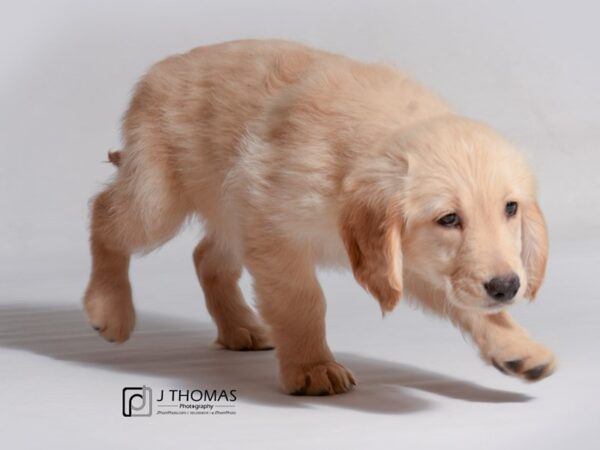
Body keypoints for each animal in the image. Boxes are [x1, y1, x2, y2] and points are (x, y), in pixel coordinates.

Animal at [83, 40, 552, 396]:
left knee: (206, 257)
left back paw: (239, 327)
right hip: (158, 199)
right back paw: (109, 307)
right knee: (104, 214)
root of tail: (162, 68)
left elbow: (470, 302)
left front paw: (515, 347)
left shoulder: (405, 259)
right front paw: (311, 367)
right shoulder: (275, 228)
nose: (507, 287)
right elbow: (301, 300)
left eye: (510, 208)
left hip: (231, 207)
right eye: (449, 218)